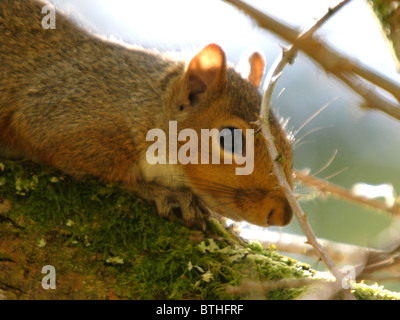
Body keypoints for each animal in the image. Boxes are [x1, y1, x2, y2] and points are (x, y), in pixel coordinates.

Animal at [0, 0, 294, 230]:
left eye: (288, 145)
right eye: (230, 139)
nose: (283, 215)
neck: (141, 101)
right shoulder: (65, 109)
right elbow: (106, 169)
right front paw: (166, 194)